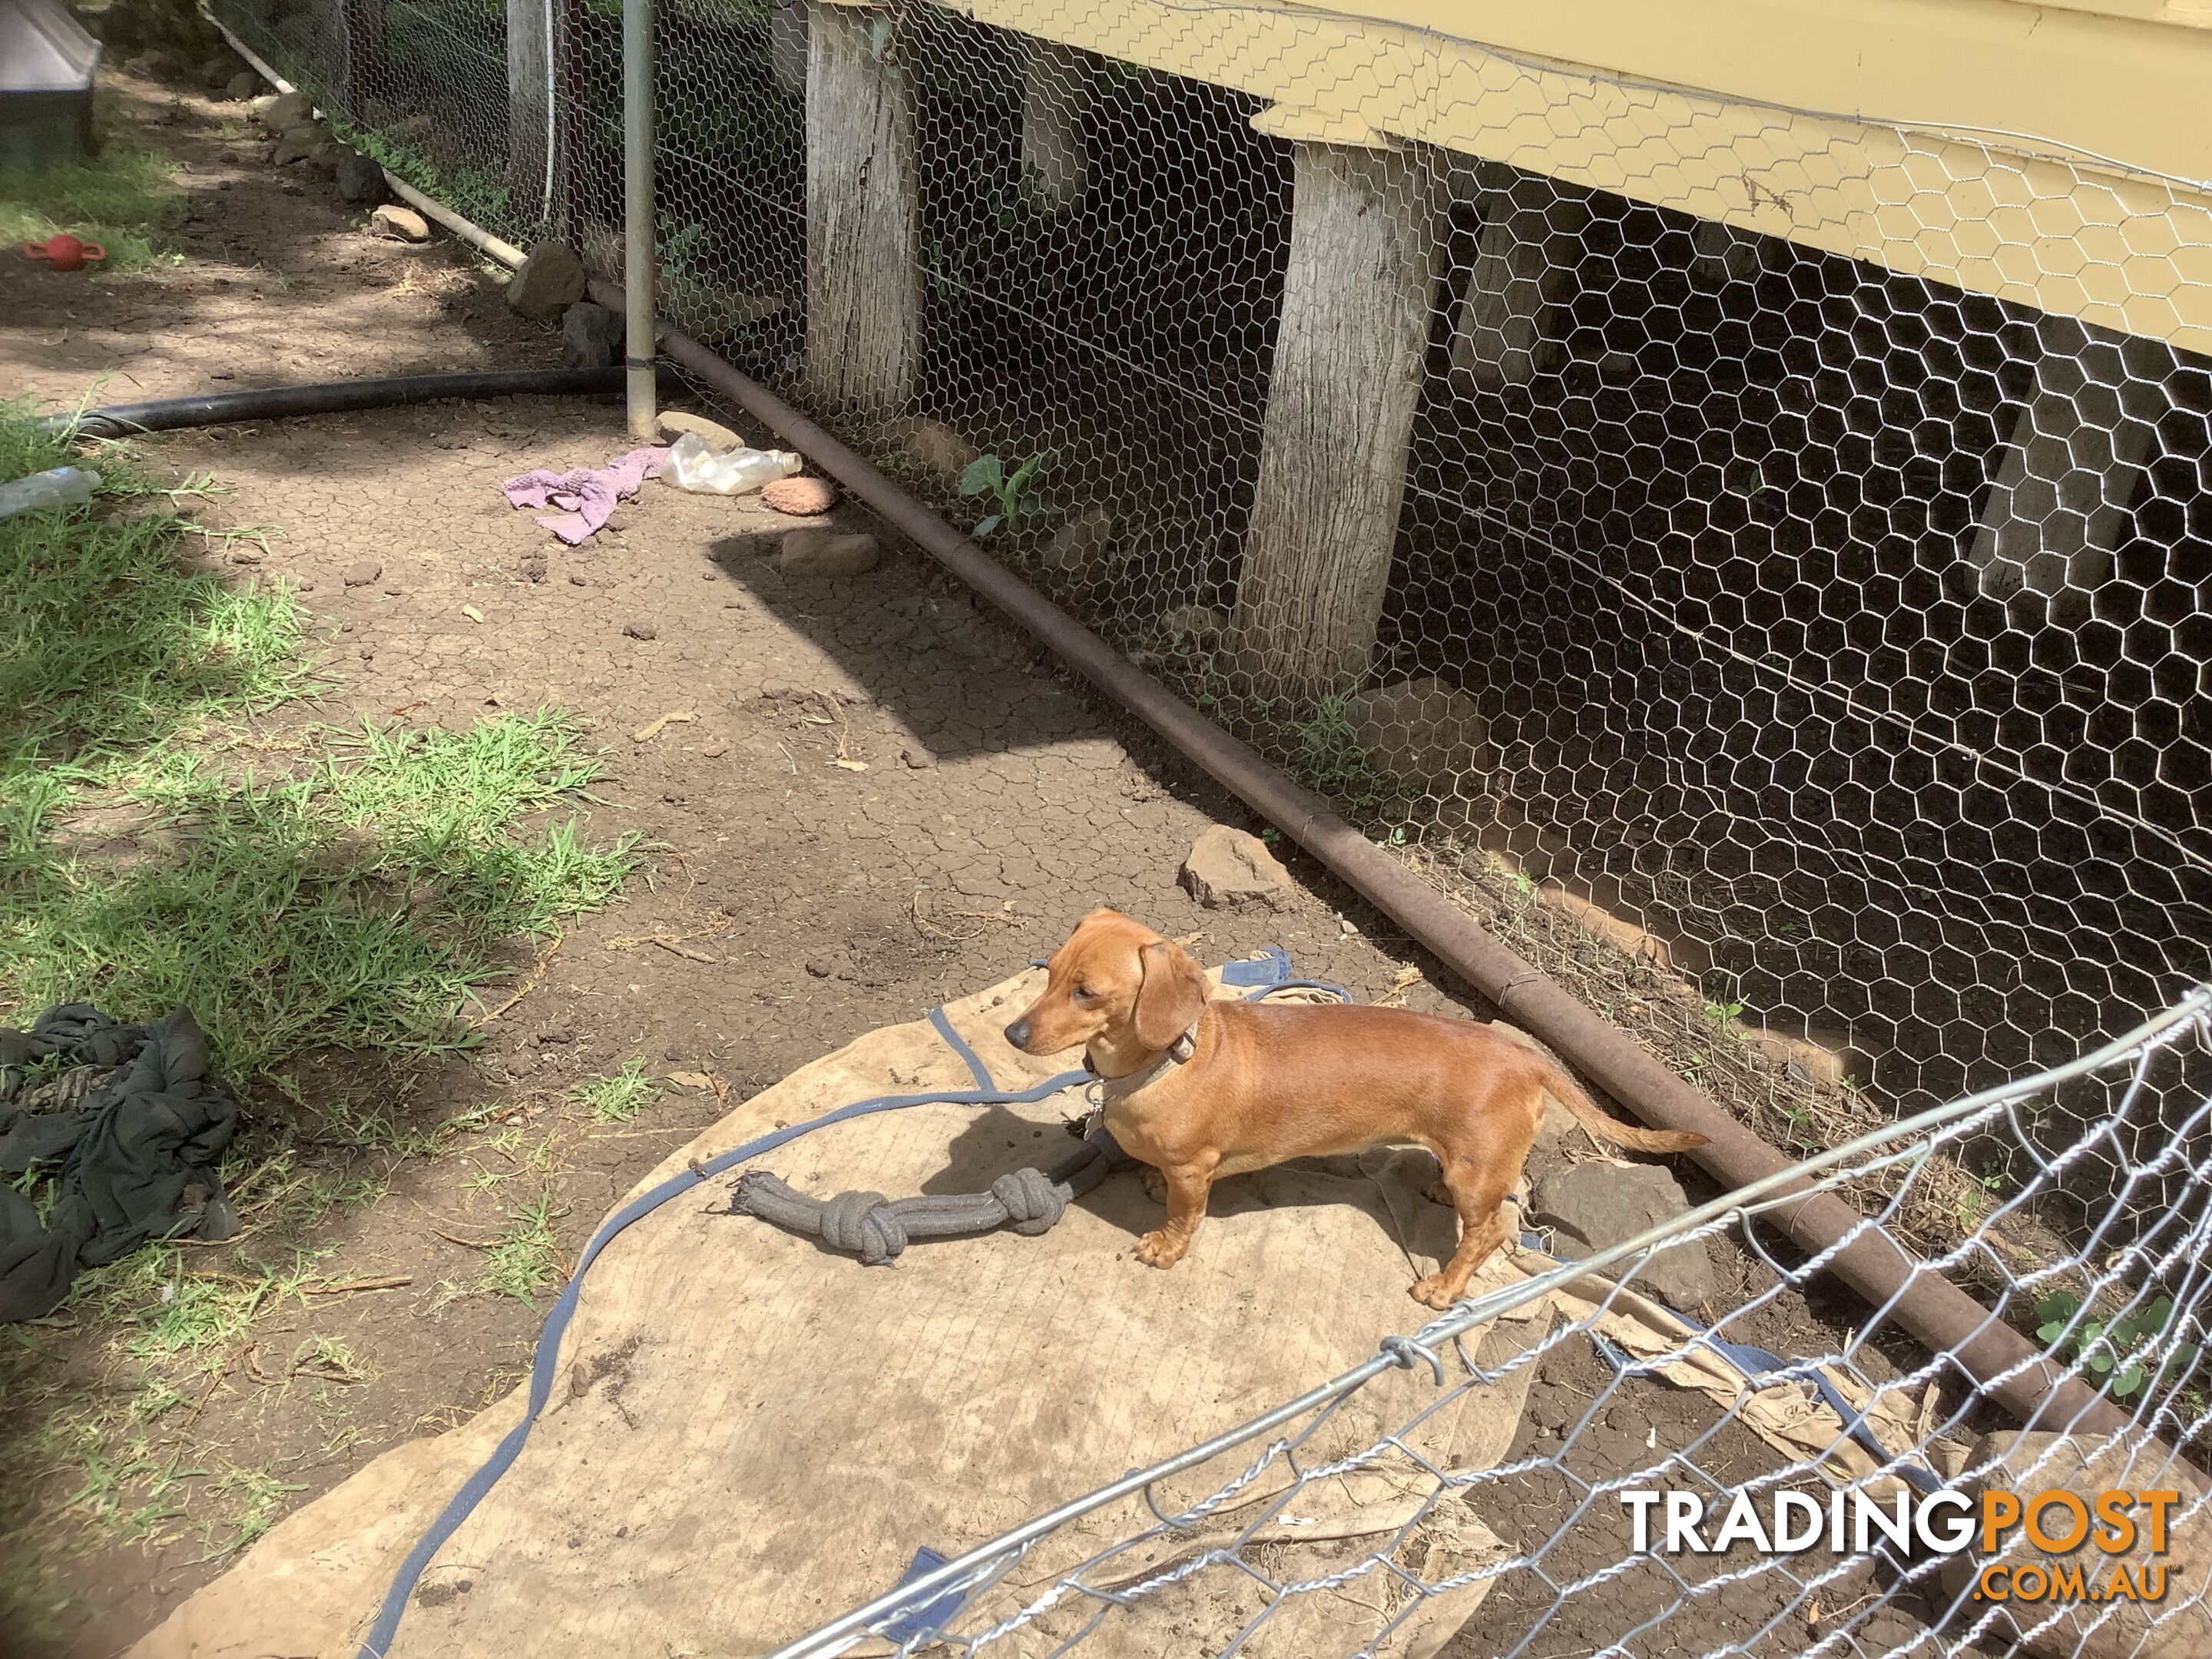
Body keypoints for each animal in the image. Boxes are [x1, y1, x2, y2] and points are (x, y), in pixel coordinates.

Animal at [1004, 911, 1707, 1309]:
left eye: (1088, 992)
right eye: (1048, 972)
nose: (1012, 1034)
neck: (1171, 1059)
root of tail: (1525, 1057)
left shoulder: (1194, 1170)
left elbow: (1184, 1217)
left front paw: (1166, 1248)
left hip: (1478, 1175)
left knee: (1489, 1234)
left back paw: (1444, 1288)